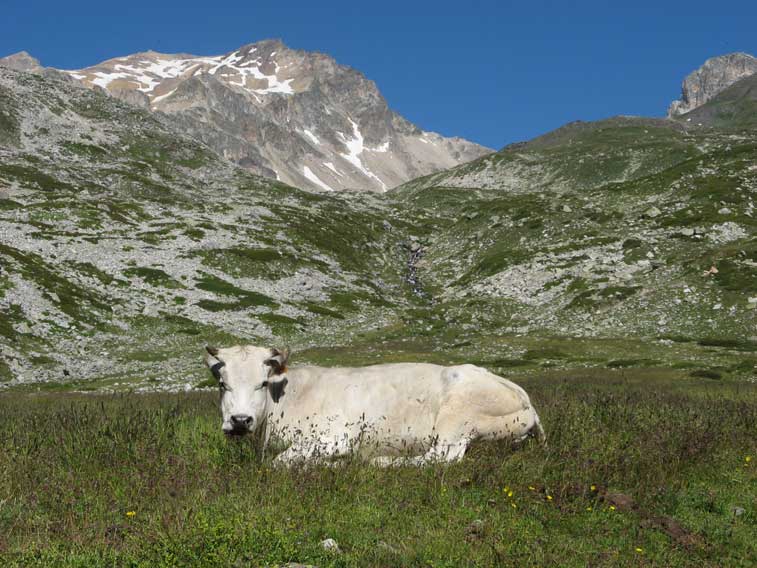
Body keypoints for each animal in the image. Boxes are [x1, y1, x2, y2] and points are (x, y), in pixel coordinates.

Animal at [202, 344, 544, 464]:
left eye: (261, 383)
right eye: (222, 384)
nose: (240, 420)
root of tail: (522, 395)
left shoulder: (338, 437)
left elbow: (281, 461)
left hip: (456, 419)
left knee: (442, 457)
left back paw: (379, 461)